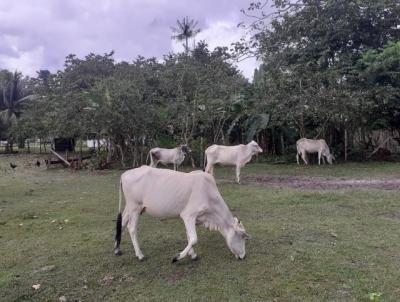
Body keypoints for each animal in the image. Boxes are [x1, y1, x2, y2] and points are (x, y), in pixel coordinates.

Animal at [113, 166, 250, 264]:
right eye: (243, 236)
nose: (243, 256)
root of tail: (125, 174)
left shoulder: (190, 218)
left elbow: (189, 237)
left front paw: (192, 255)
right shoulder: (188, 215)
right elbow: (193, 239)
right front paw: (177, 257)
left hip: (130, 208)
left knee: (122, 223)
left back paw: (117, 249)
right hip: (135, 207)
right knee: (131, 228)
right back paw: (140, 255)